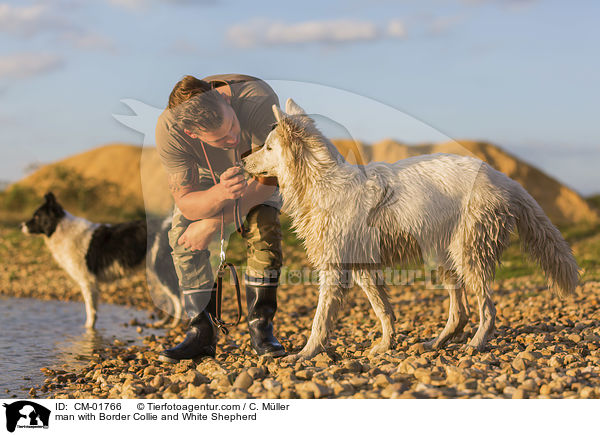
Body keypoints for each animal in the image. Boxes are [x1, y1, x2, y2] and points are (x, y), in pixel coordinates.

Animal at [241, 99, 580, 362]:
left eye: (268, 147)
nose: (242, 159)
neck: (322, 182)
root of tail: (504, 178)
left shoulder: (335, 268)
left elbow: (320, 320)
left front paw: (306, 354)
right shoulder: (364, 268)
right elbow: (384, 311)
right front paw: (385, 346)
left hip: (469, 255)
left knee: (488, 310)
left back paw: (475, 345)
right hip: (444, 258)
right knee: (460, 313)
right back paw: (436, 343)